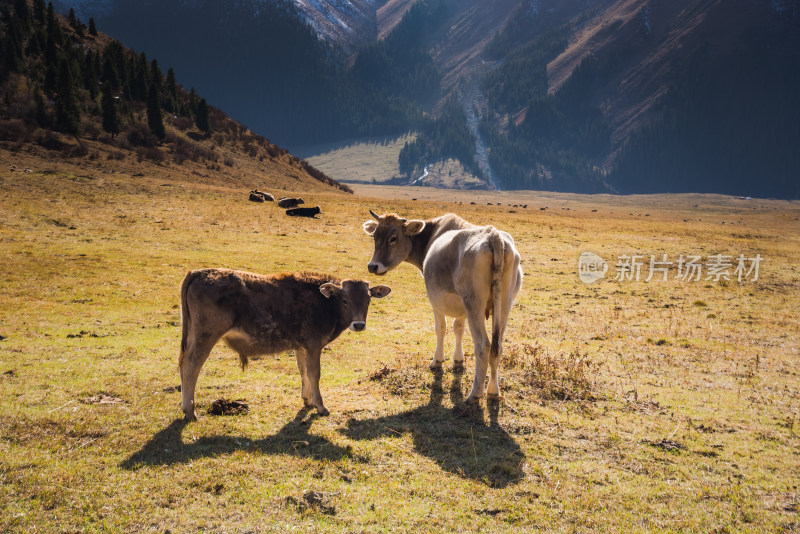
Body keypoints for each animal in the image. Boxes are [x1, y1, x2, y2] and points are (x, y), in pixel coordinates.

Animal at [182, 270, 394, 420]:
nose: (358, 324)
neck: (324, 302)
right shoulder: (314, 345)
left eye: (368, 299)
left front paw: (307, 400)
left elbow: (303, 371)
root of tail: (199, 272)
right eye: (345, 300)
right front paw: (320, 406)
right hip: (206, 336)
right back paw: (190, 410)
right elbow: (314, 373)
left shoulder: (301, 347)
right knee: (191, 367)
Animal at [364, 211, 524, 404]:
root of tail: (493, 236)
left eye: (393, 238)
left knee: (483, 345)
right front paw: (458, 360)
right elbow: (458, 328)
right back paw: (493, 391)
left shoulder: (437, 301)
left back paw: (475, 393)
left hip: (474, 304)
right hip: (504, 304)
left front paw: (437, 361)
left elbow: (441, 328)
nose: (373, 266)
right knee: (497, 346)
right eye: (374, 236)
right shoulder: (461, 308)